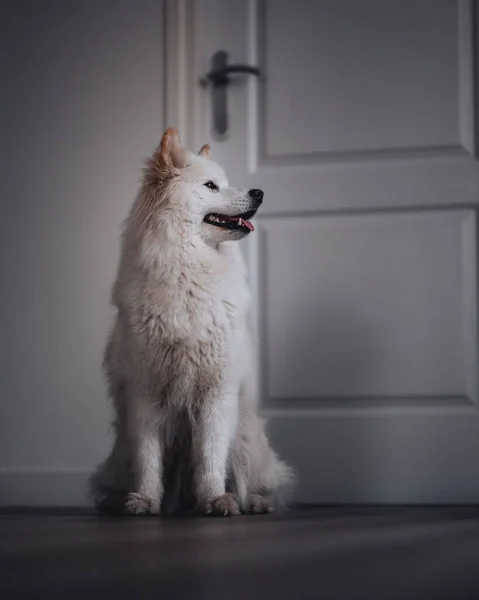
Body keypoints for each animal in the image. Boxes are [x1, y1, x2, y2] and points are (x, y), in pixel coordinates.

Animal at [89, 127, 292, 516]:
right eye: (211, 186)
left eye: (226, 183)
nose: (258, 193)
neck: (187, 274)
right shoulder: (145, 393)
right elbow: (149, 459)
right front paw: (146, 500)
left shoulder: (216, 391)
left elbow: (211, 455)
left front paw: (215, 498)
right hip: (120, 451)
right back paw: (119, 501)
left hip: (247, 438)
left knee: (253, 475)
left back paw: (255, 501)